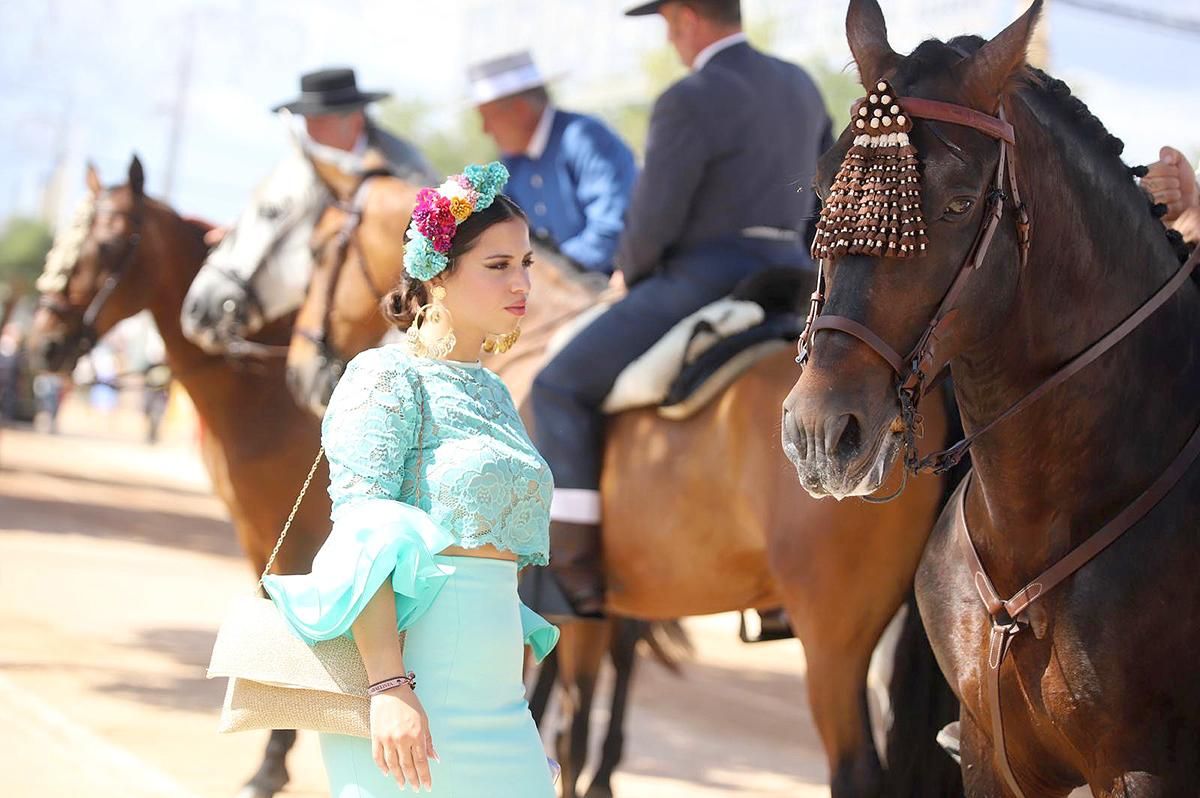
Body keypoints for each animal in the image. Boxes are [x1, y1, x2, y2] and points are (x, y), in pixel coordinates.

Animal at [28, 157, 336, 796]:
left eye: (110, 245)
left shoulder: (299, 533)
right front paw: (273, 761)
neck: (269, 391)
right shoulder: (257, 530)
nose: (43, 345)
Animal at [283, 164, 964, 792]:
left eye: (315, 251)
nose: (299, 372)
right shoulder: (602, 608)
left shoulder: (570, 604)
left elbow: (566, 729)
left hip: (833, 636)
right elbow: (574, 724)